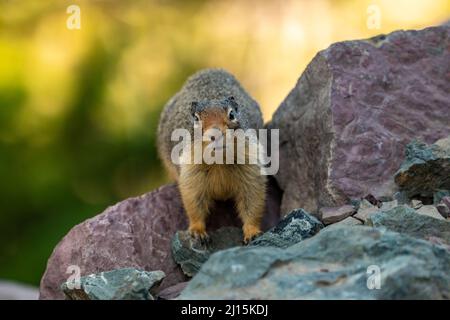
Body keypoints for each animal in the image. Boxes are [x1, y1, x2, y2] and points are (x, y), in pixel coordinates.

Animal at [156, 67, 266, 242]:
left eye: (232, 114)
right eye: (196, 118)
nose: (215, 134)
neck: (219, 160)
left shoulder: (252, 171)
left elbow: (253, 203)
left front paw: (252, 232)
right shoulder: (191, 174)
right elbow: (194, 205)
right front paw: (197, 232)